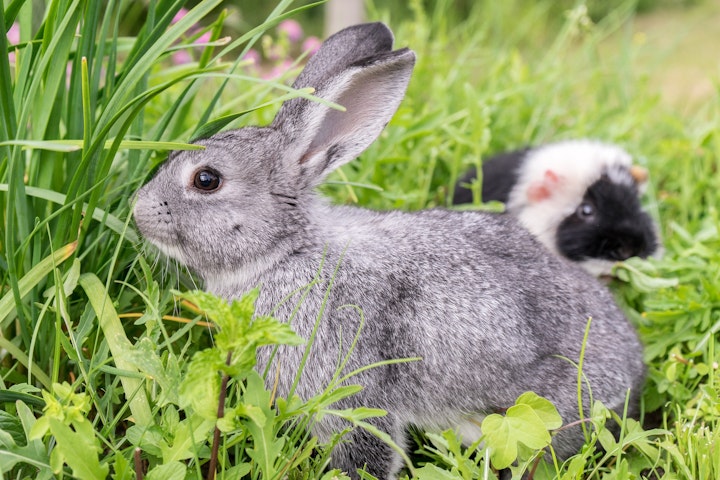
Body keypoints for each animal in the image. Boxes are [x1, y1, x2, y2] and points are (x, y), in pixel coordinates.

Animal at [135, 22, 648, 480]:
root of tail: (634, 370)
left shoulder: (350, 390)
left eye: (207, 180)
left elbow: (365, 450)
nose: (138, 211)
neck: (288, 250)